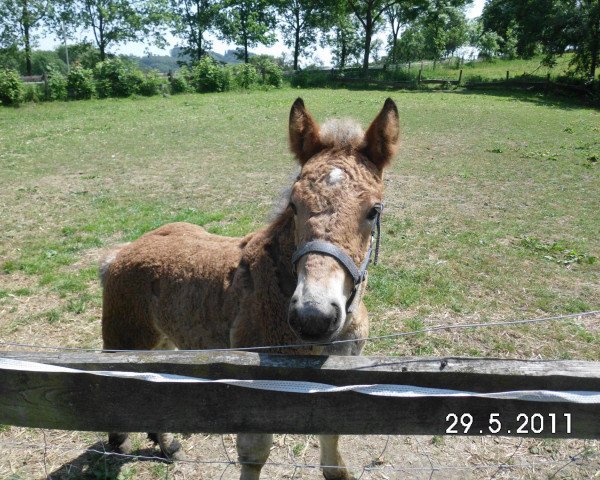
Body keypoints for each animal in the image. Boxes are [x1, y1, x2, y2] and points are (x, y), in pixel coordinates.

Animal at [99, 97, 398, 480]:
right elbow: (255, 456)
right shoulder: (257, 386)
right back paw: (119, 441)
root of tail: (120, 253)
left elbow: (332, 447)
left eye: (373, 211)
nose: (313, 316)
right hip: (123, 341)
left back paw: (165, 444)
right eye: (293, 204)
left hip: (163, 342)